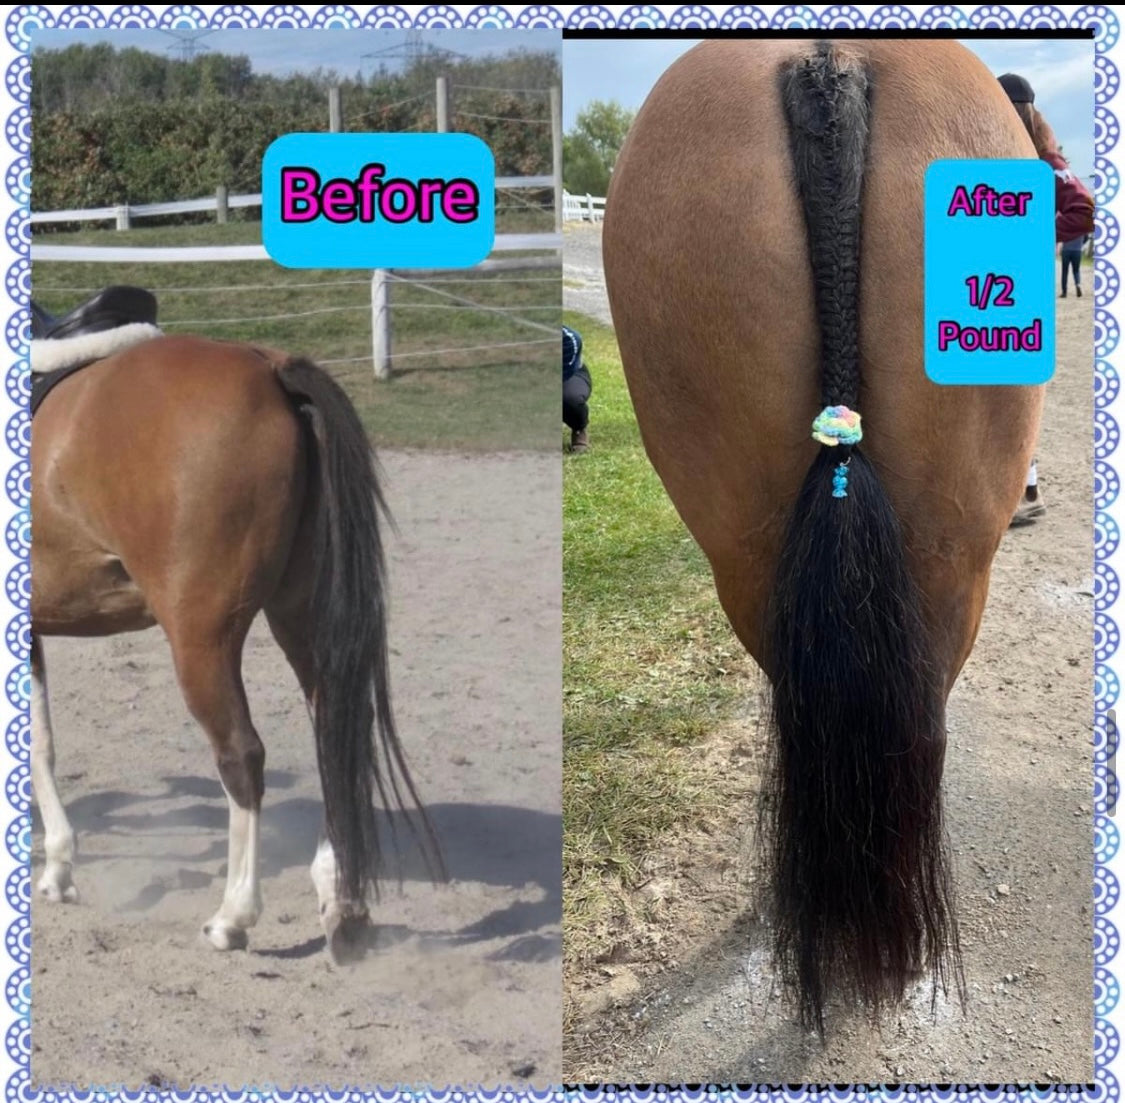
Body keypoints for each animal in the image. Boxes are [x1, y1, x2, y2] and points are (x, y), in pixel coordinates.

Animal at [30, 313, 444, 962]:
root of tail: (268, 368)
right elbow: (39, 741)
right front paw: (54, 864)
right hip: (302, 620)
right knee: (333, 733)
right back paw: (343, 902)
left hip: (202, 641)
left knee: (241, 756)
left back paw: (235, 915)